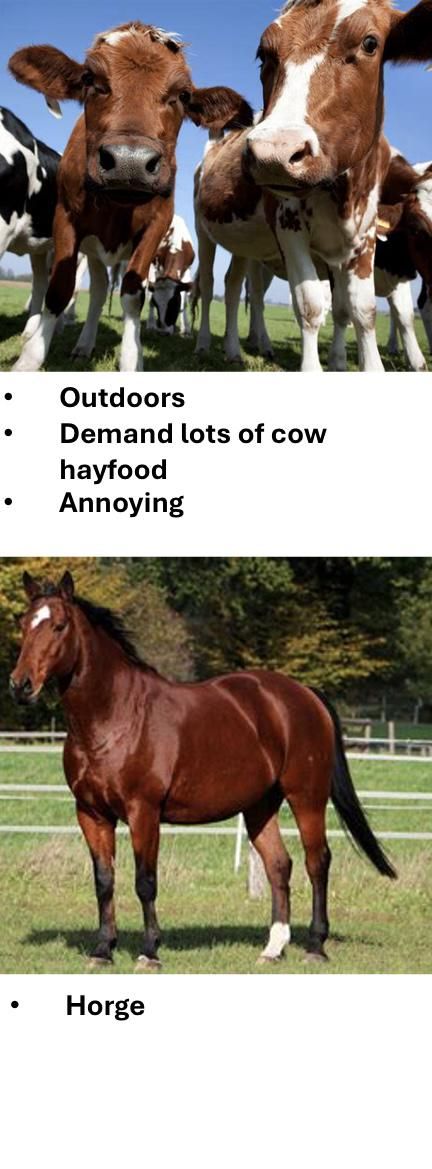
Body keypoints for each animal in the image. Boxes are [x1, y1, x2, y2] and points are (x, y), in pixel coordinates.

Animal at [8, 22, 253, 372]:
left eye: (183, 95)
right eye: (90, 79)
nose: (129, 162)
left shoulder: (156, 226)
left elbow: (134, 296)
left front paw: (131, 359)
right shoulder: (65, 219)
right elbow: (59, 290)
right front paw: (29, 360)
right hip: (93, 250)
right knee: (97, 291)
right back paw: (83, 344)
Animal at [195, 0, 432, 372]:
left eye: (370, 43)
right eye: (264, 54)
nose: (273, 154)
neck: (343, 195)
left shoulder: (364, 238)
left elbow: (361, 310)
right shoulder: (289, 228)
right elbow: (310, 305)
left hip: (246, 245)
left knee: (233, 287)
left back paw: (233, 349)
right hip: (204, 232)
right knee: (207, 285)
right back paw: (204, 343)